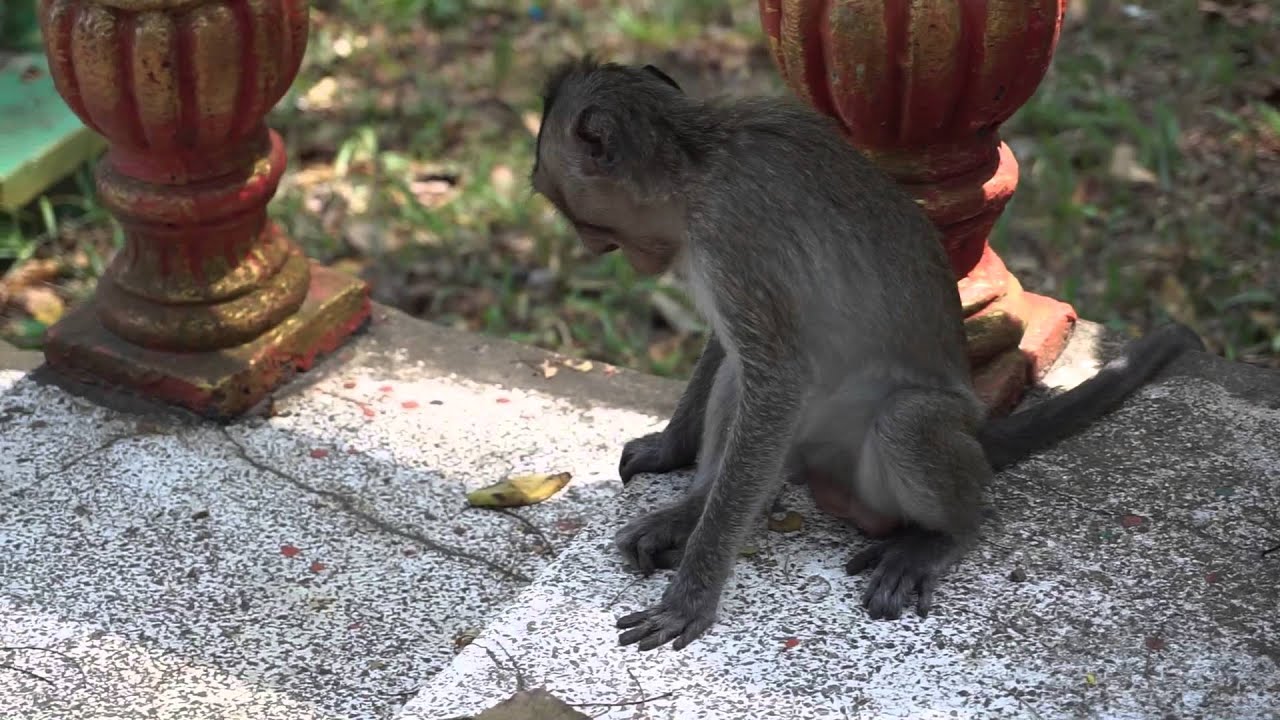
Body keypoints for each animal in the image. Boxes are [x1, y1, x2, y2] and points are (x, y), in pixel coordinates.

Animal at [528, 56, 1206, 652]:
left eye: (574, 213)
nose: (593, 248)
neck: (699, 161)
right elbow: (734, 353)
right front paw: (674, 453)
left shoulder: (732, 238)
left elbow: (776, 378)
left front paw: (693, 593)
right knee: (741, 384)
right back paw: (694, 509)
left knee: (904, 422)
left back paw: (948, 534)